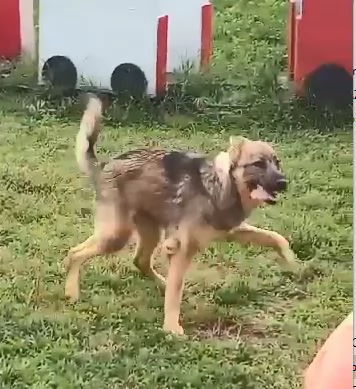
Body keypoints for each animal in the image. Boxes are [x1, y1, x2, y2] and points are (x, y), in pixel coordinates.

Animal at [64, 93, 298, 334]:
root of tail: (104, 166)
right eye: (258, 163)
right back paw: (71, 292)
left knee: (140, 261)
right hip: (115, 236)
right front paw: (171, 327)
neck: (221, 184)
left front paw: (291, 260)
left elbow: (276, 238)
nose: (284, 183)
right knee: (74, 253)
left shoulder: (234, 231)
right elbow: (175, 294)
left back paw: (160, 283)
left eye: (277, 162)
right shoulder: (182, 249)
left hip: (148, 233)